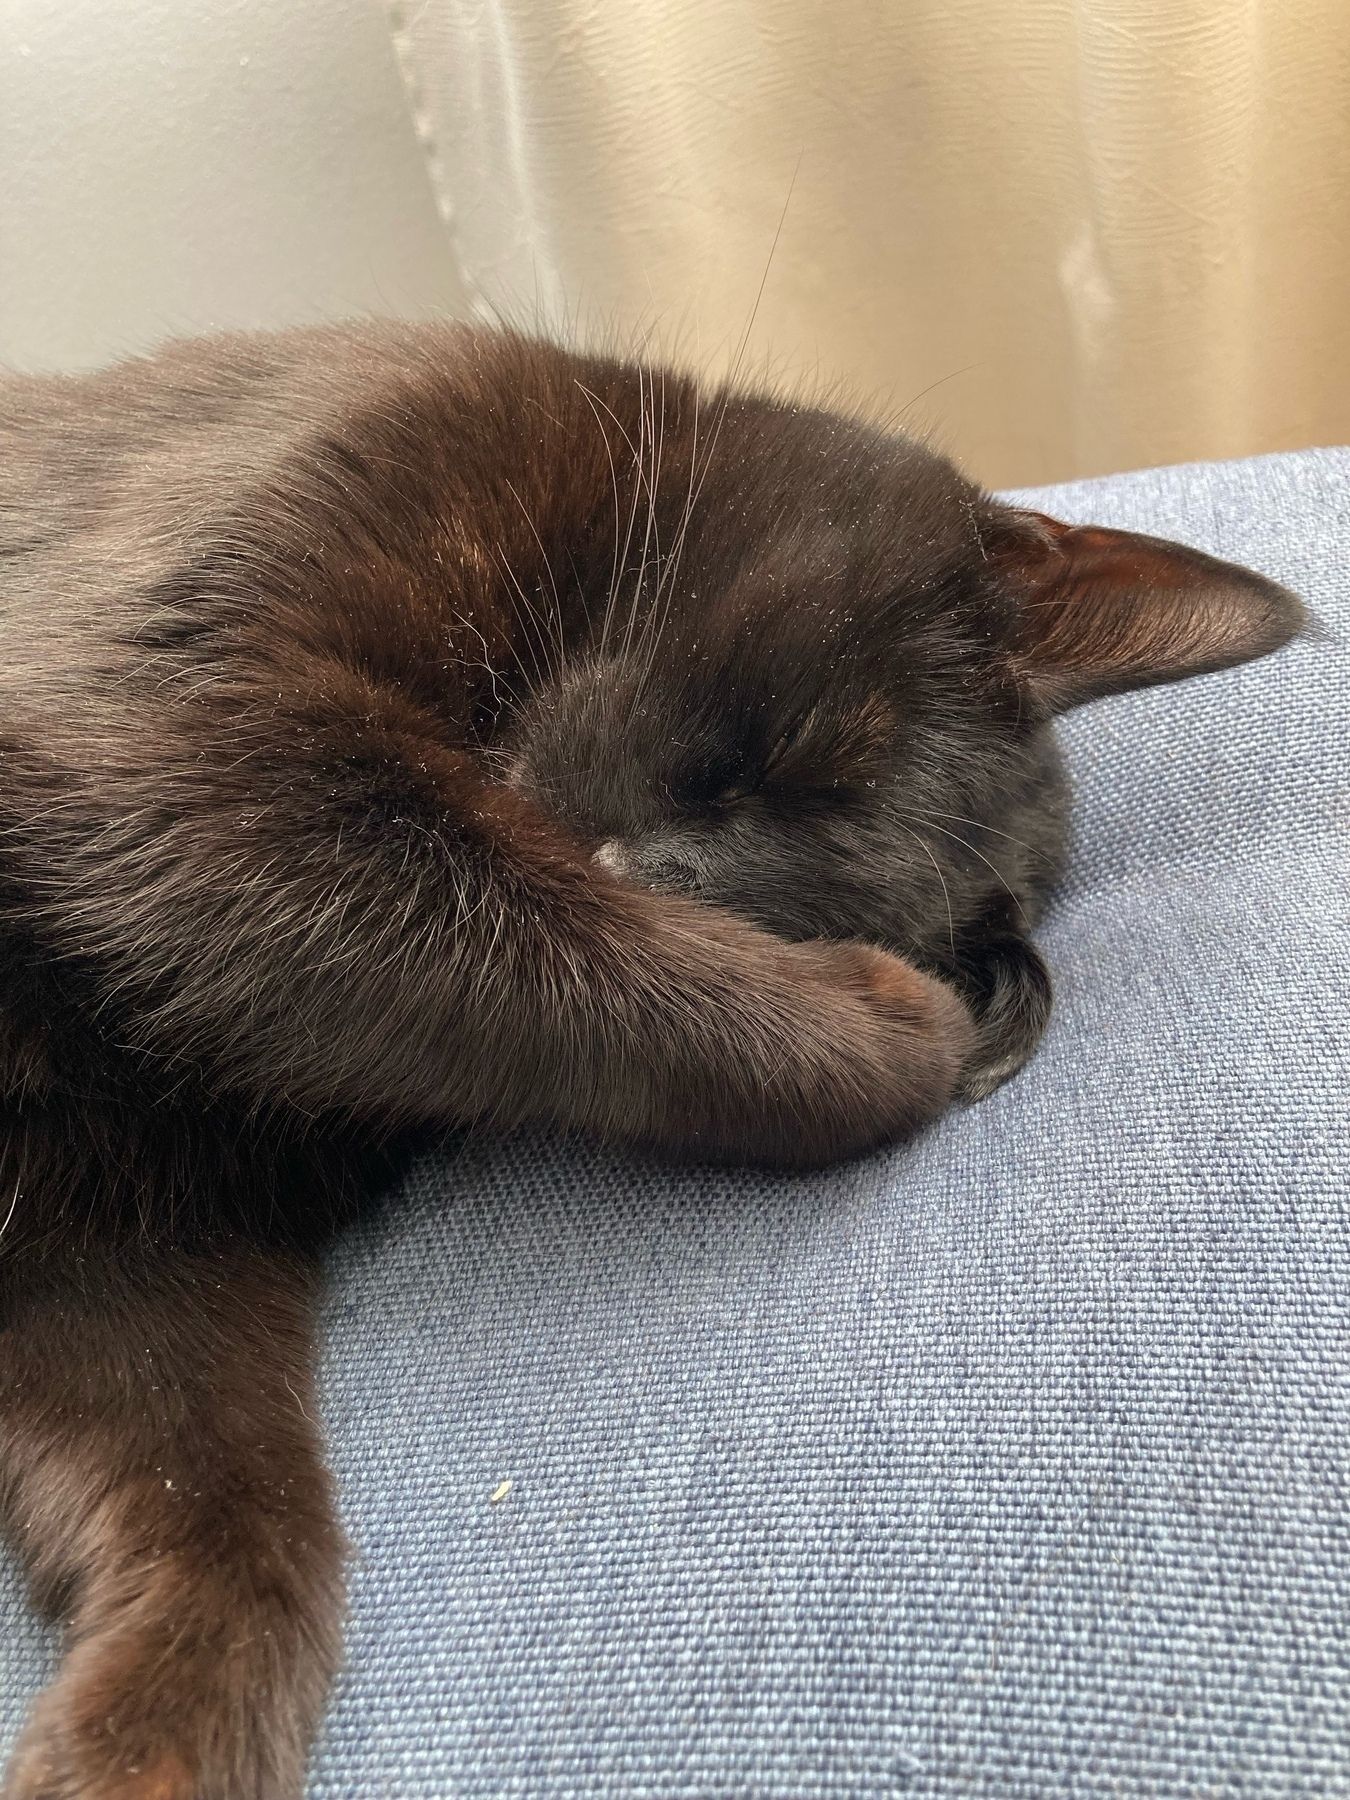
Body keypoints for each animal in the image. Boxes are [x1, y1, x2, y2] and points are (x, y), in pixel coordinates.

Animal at [0, 327, 1303, 1800]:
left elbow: (221, 1507)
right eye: (795, 757)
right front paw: (900, 1031)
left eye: (783, 898)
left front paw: (143, 1741)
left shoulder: (122, 1245)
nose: (642, 871)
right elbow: (539, 950)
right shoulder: (186, 728)